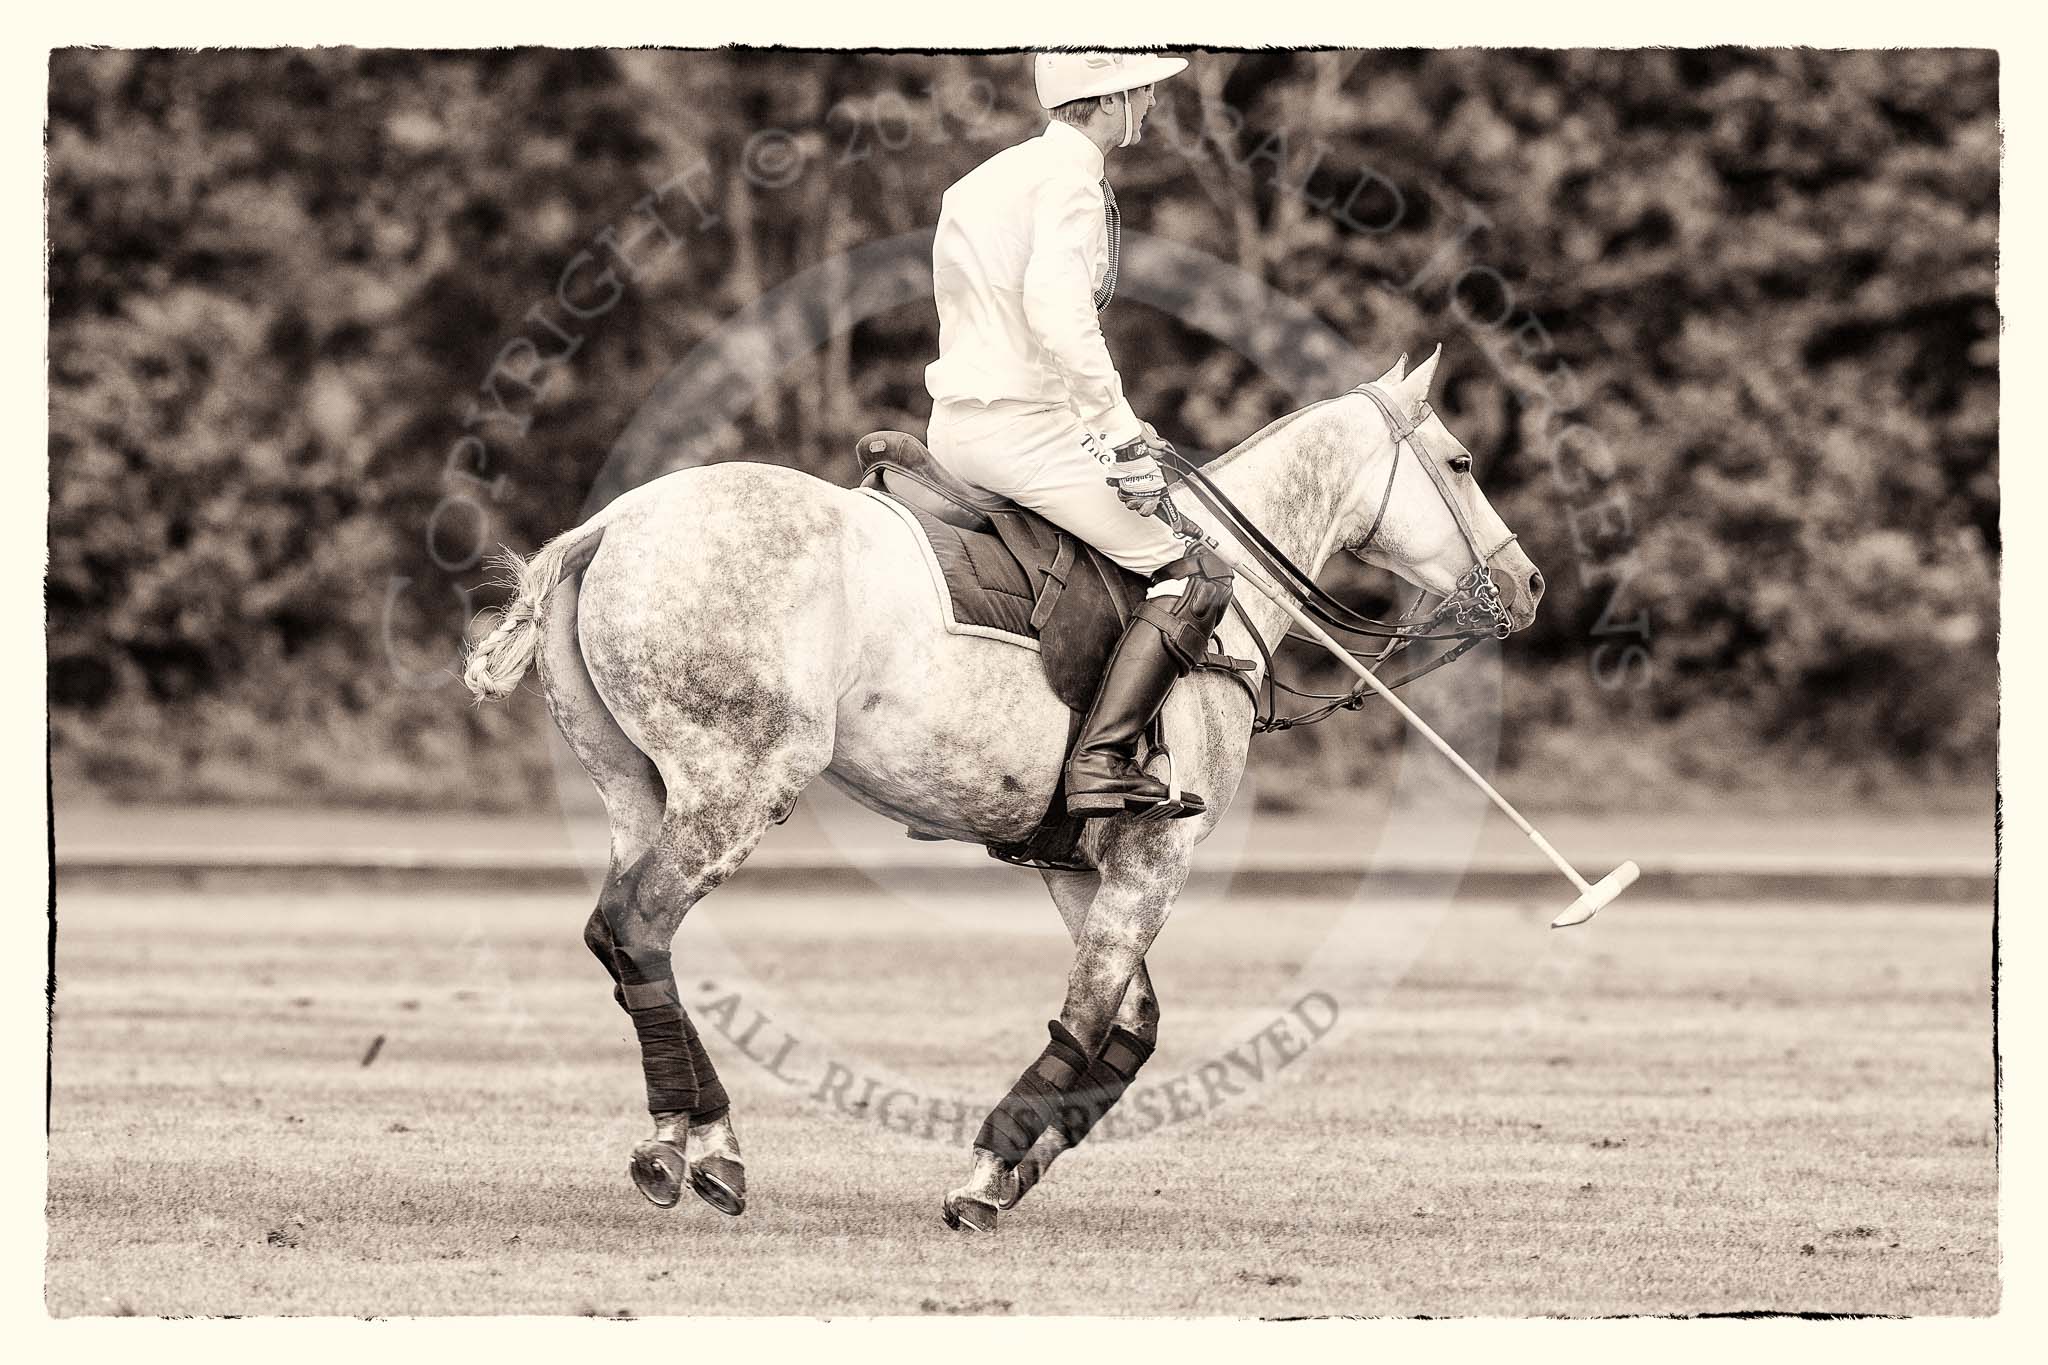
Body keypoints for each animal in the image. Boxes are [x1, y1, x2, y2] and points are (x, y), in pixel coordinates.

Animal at [468, 343, 1540, 1236]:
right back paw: (703, 1146)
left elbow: (1133, 1023)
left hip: (637, 786)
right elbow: (1092, 1013)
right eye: (1461, 463)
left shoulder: (1079, 861)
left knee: (614, 933)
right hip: (740, 782)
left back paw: (690, 1143)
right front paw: (988, 1173)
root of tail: (609, 524)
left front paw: (1026, 1160)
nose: (1528, 585)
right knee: (641, 923)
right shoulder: (1157, 855)